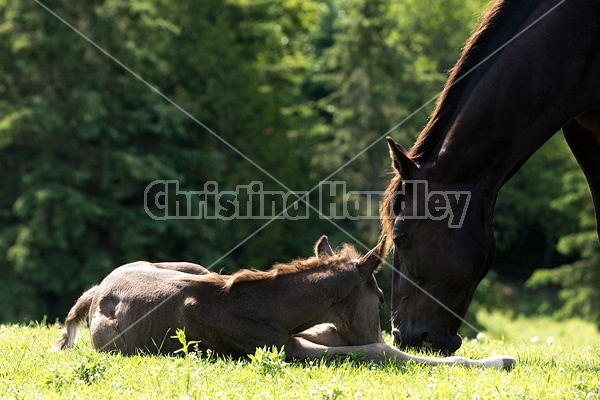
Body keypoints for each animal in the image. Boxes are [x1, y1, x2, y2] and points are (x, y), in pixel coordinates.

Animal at [51, 236, 512, 370]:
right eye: (381, 298)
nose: (391, 331)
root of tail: (98, 290)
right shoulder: (283, 349)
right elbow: (376, 352)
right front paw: (498, 360)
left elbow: (341, 336)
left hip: (194, 265)